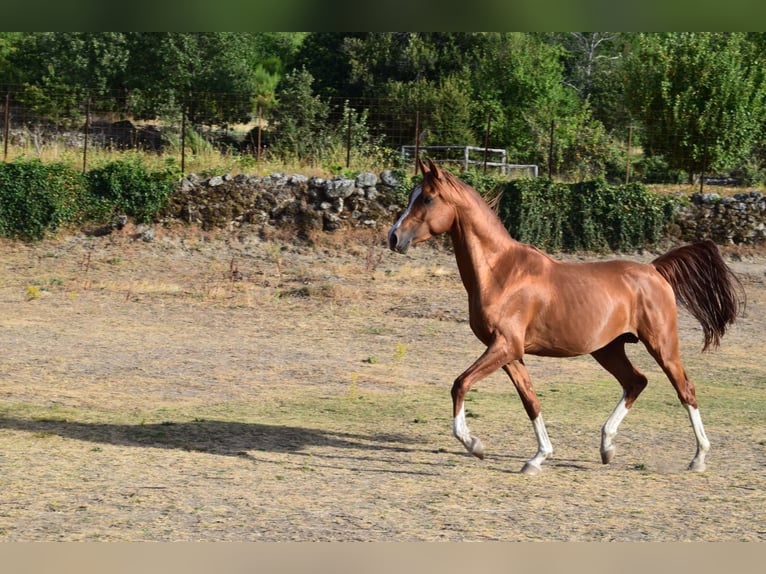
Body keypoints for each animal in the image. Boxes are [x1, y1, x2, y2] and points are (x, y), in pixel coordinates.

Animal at [390, 159, 744, 476]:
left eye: (427, 198)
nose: (394, 238)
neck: (500, 272)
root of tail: (654, 270)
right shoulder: (510, 353)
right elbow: (531, 401)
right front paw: (537, 458)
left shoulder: (505, 346)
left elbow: (460, 384)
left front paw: (474, 444)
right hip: (609, 349)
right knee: (635, 381)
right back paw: (607, 447)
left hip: (662, 344)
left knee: (685, 389)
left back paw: (698, 458)